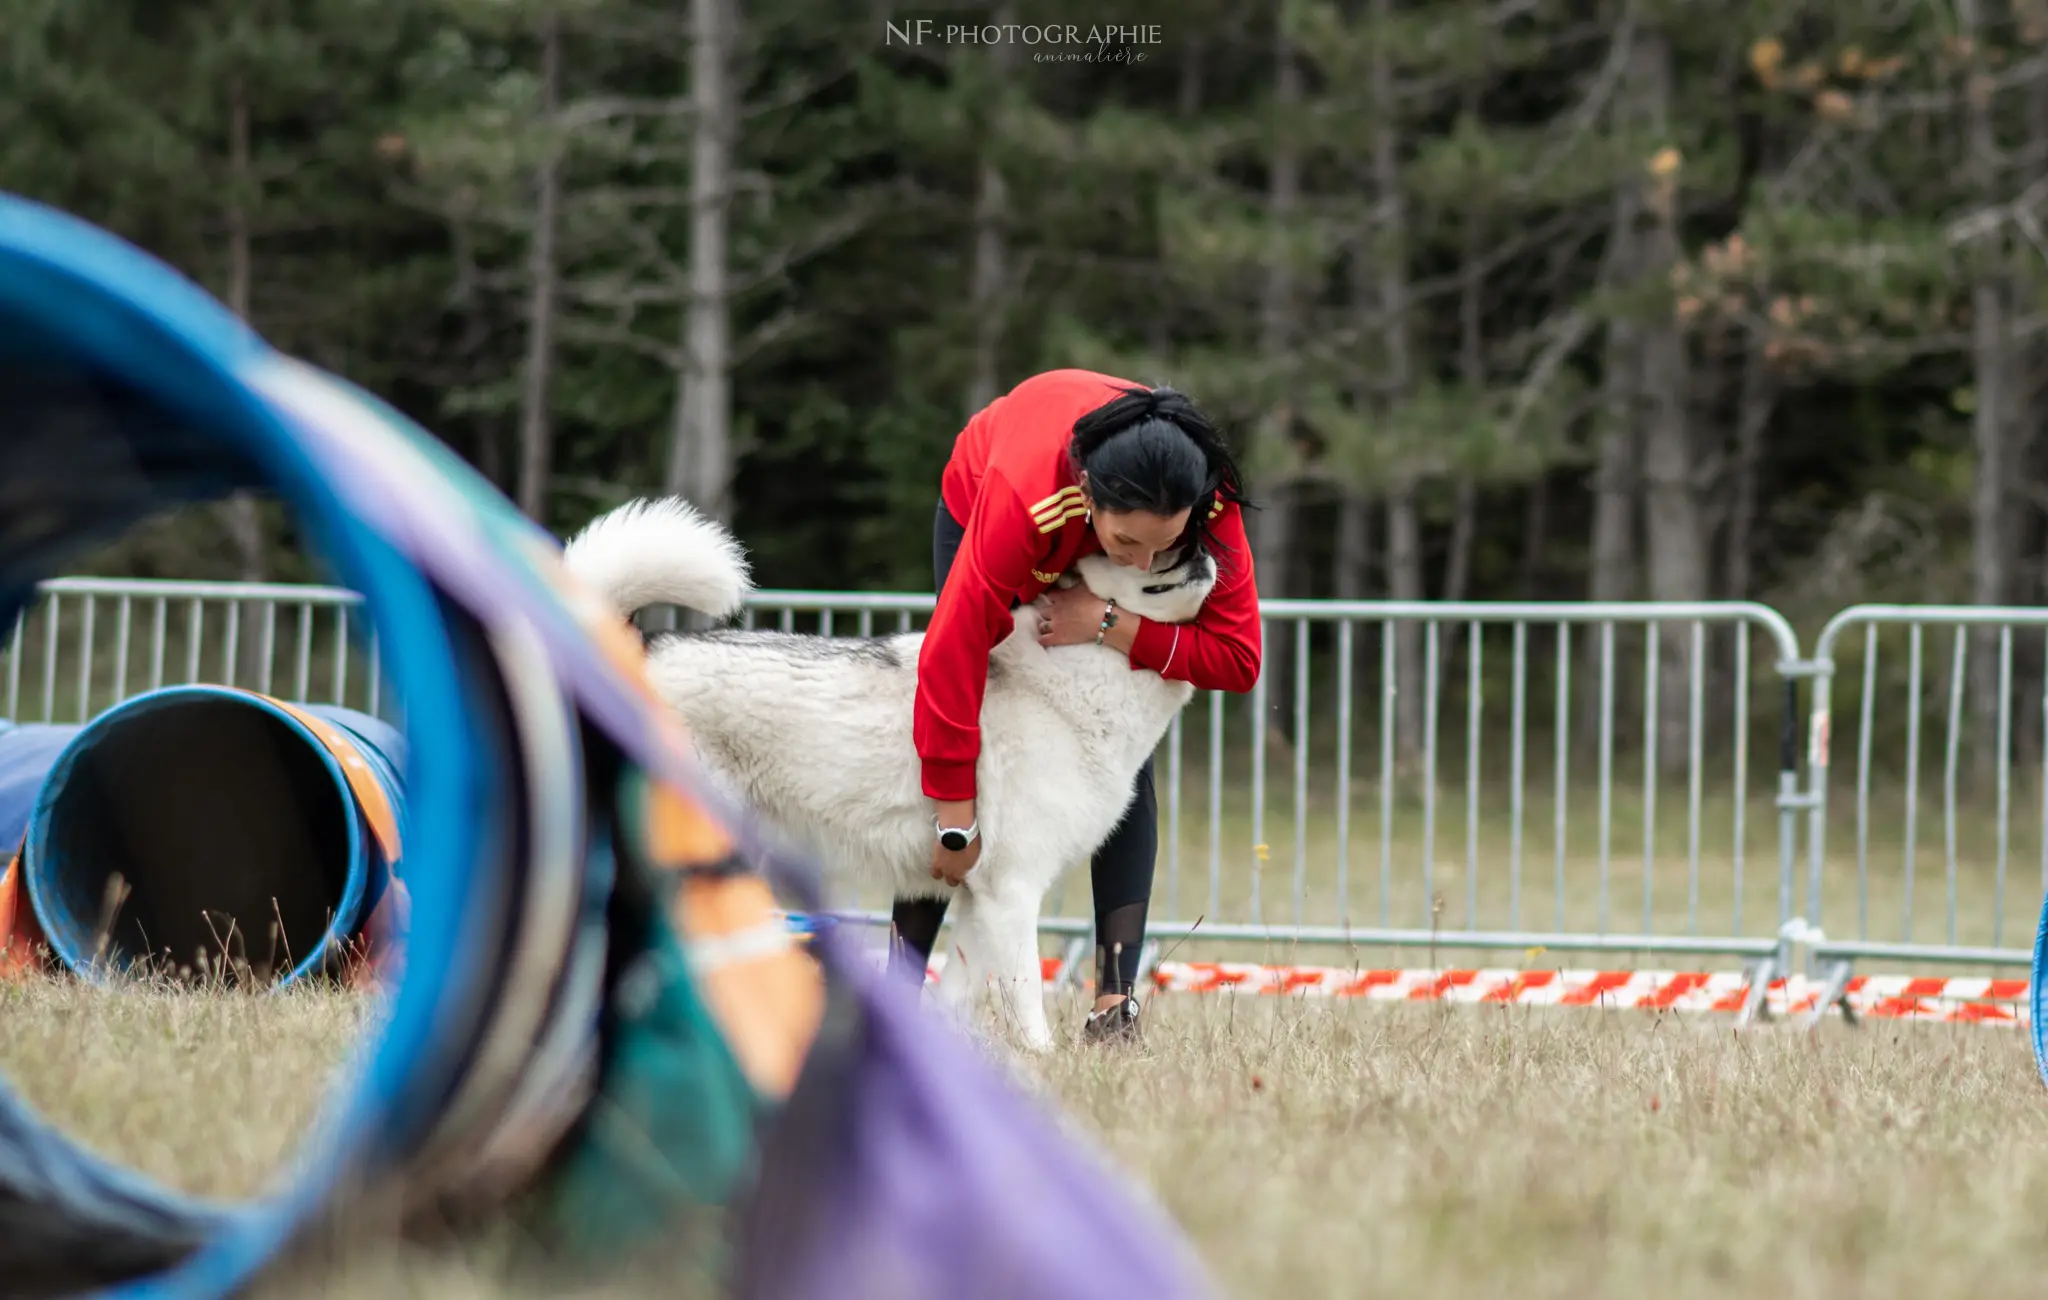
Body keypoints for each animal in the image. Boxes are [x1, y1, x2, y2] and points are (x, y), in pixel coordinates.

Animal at [561, 493, 1212, 1056]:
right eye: (1135, 548)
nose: (1203, 546)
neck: (1074, 676)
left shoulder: (978, 899)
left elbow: (957, 995)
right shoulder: (1015, 891)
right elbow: (1027, 995)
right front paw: (1043, 1060)